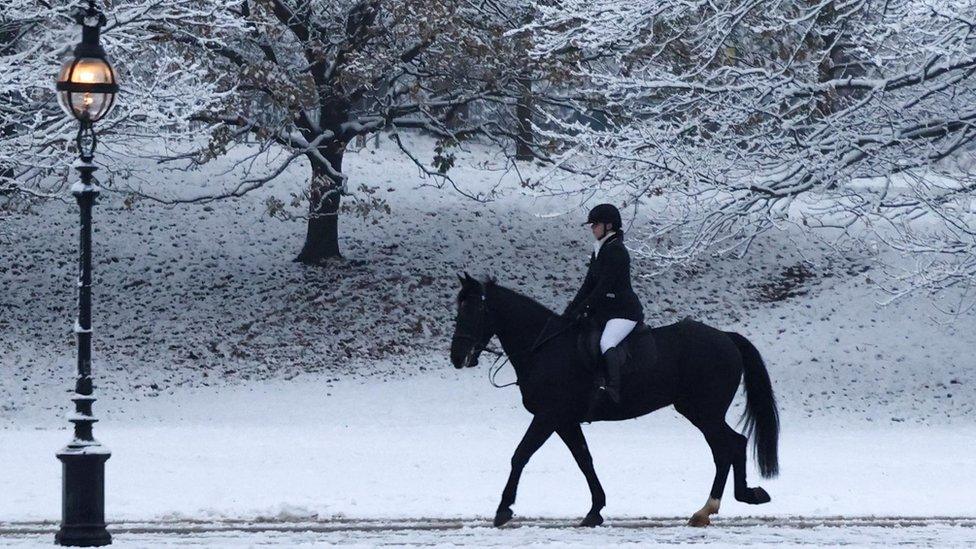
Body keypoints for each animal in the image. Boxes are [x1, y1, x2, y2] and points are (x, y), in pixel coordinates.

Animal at [448, 274, 776, 528]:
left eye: (475, 309)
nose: (457, 357)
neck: (544, 348)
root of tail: (725, 337)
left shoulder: (548, 415)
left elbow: (520, 455)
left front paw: (503, 509)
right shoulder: (564, 420)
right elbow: (584, 460)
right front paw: (595, 510)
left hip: (704, 411)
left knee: (726, 448)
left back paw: (708, 508)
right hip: (700, 411)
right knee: (733, 445)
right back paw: (737, 498)